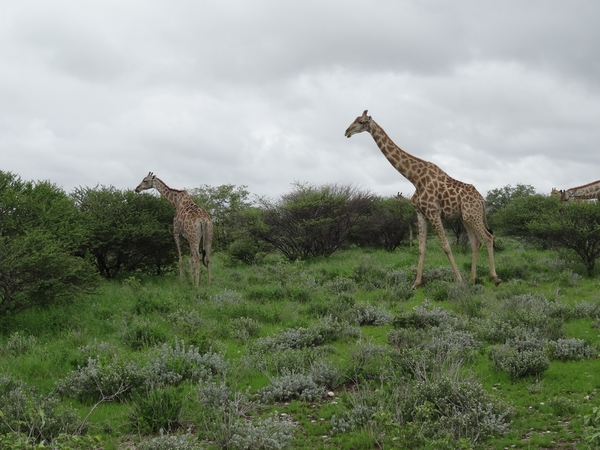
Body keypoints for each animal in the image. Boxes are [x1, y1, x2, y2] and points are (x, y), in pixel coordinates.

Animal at [344, 110, 500, 290]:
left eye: (361, 122)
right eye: (355, 119)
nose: (346, 132)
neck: (415, 178)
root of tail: (482, 201)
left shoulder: (433, 212)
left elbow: (446, 246)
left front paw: (459, 280)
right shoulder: (421, 213)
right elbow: (421, 248)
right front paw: (416, 283)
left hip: (472, 215)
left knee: (488, 237)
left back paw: (494, 277)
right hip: (466, 217)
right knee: (476, 242)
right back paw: (473, 279)